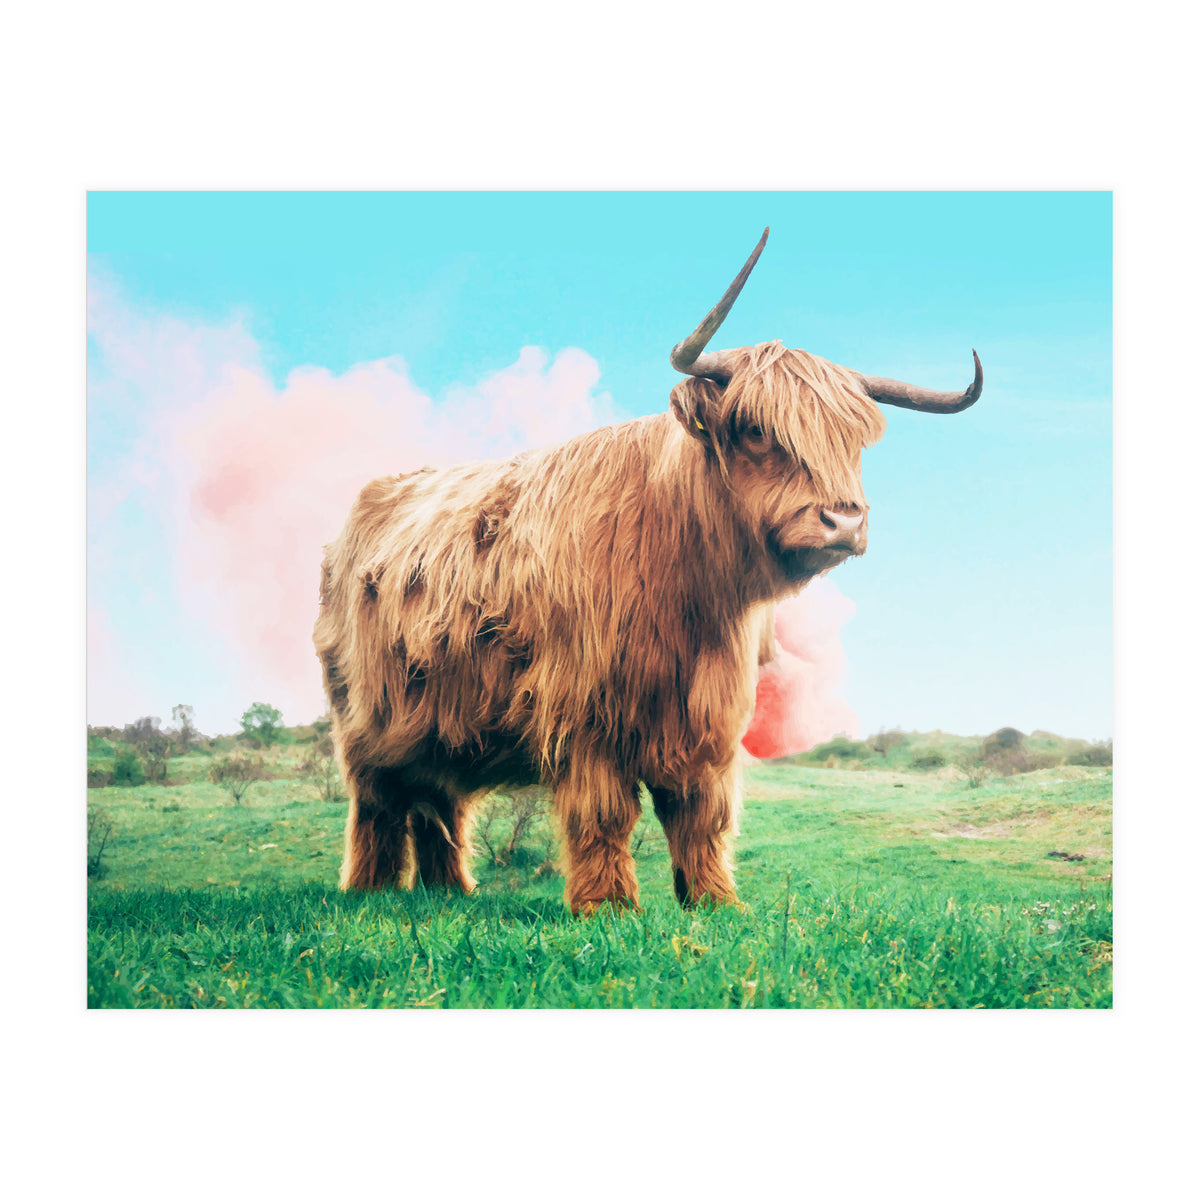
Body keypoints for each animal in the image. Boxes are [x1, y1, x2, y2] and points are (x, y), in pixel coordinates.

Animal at [313, 228, 982, 914]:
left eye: (853, 441)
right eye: (755, 429)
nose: (843, 522)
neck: (688, 592)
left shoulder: (709, 717)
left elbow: (701, 813)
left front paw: (715, 901)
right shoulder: (585, 711)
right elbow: (604, 813)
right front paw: (607, 906)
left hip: (438, 721)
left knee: (437, 801)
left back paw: (449, 892)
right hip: (365, 720)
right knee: (378, 803)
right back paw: (369, 891)